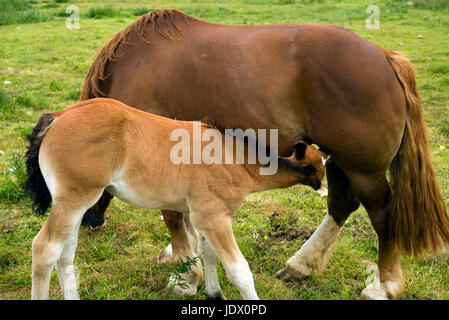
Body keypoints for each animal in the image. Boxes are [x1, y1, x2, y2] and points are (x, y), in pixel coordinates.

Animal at [26, 98, 328, 300]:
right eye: (315, 167)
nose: (323, 187)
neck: (234, 157)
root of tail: (60, 115)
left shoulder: (202, 217)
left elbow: (207, 253)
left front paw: (214, 295)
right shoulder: (214, 218)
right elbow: (239, 270)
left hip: (76, 206)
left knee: (65, 254)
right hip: (73, 201)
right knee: (46, 249)